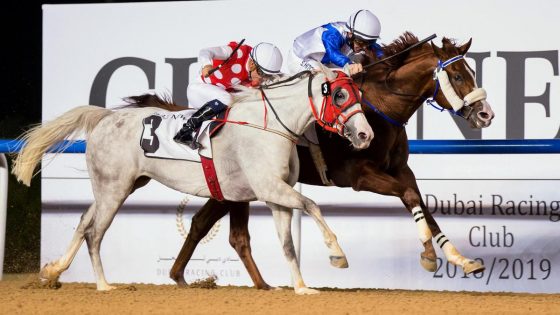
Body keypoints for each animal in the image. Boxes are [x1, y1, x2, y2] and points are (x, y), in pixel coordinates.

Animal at [12, 69, 372, 296]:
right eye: (340, 95)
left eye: (358, 93)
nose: (365, 135)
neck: (269, 126)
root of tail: (105, 116)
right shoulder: (270, 187)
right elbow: (312, 205)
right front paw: (337, 256)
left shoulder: (275, 195)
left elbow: (287, 243)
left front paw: (300, 287)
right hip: (114, 189)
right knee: (94, 232)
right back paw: (103, 285)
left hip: (117, 186)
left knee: (84, 221)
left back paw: (53, 271)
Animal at [139, 33, 494, 290]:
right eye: (458, 75)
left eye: (473, 72)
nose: (485, 114)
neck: (379, 110)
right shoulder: (358, 175)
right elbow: (407, 197)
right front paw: (429, 255)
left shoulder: (401, 170)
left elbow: (419, 202)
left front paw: (461, 259)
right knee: (212, 227)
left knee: (217, 229)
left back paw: (218, 280)